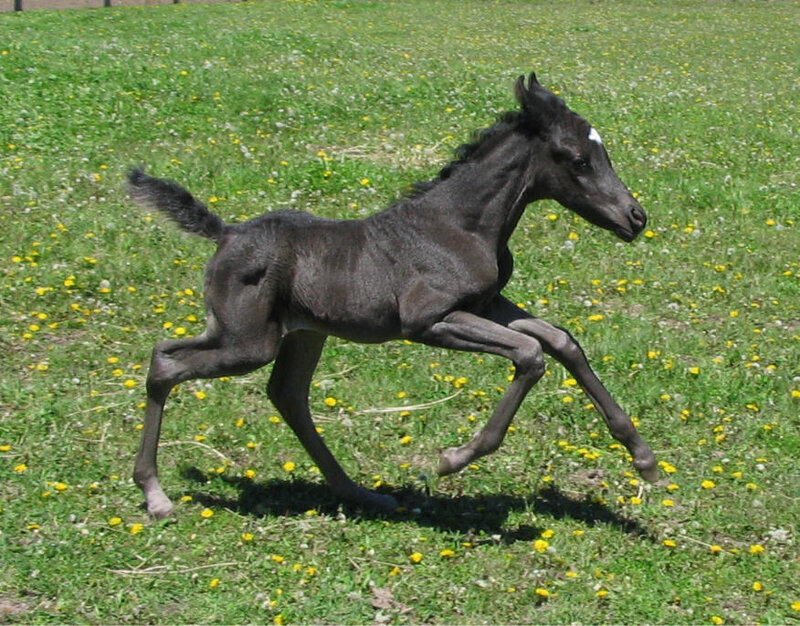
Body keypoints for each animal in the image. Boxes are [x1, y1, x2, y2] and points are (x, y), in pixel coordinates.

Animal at [127, 72, 658, 519]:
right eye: (579, 160)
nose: (636, 218)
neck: (459, 225)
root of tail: (226, 233)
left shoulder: (488, 305)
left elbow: (562, 340)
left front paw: (644, 457)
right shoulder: (429, 320)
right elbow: (530, 354)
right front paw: (454, 458)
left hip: (301, 334)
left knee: (285, 394)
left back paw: (359, 492)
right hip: (247, 341)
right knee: (167, 362)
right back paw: (155, 494)